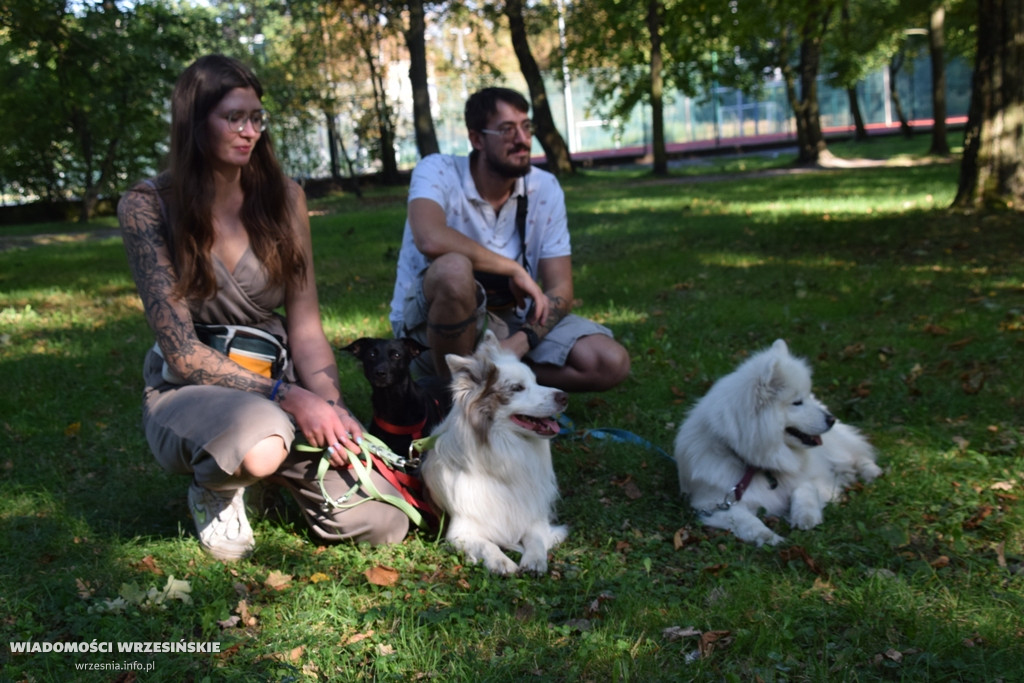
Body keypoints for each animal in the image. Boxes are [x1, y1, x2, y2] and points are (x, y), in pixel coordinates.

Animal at [419, 331, 573, 573]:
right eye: (517, 388)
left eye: (536, 381)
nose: (564, 396)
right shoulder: (460, 532)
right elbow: (486, 544)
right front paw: (501, 562)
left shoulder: (535, 518)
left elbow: (536, 539)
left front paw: (534, 561)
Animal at [671, 339, 880, 548]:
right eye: (797, 402)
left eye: (804, 397)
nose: (831, 419)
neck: (759, 463)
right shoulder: (713, 503)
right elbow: (746, 520)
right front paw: (768, 536)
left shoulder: (813, 477)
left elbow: (804, 490)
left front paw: (806, 517)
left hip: (835, 449)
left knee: (856, 455)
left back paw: (871, 471)